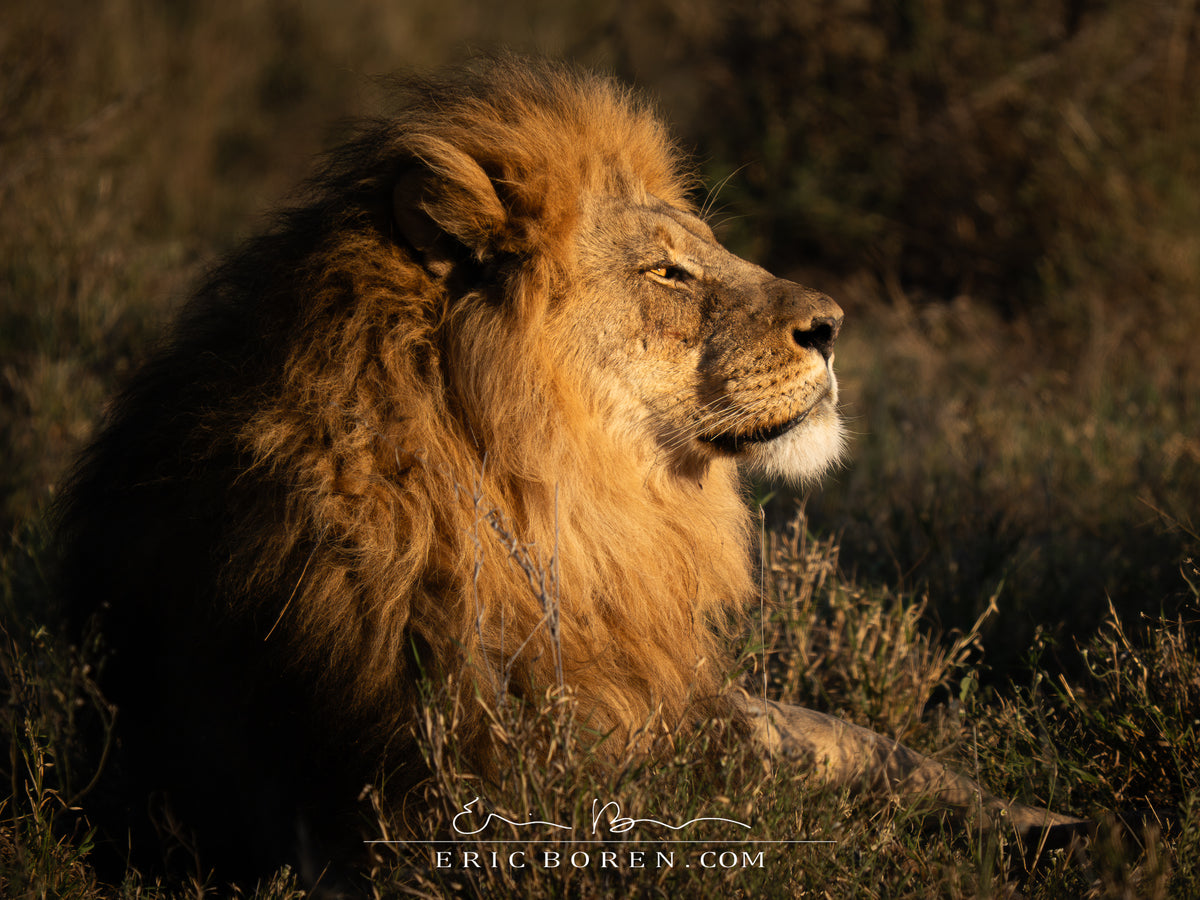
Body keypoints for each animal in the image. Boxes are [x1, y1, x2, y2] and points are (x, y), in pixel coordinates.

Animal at [56, 57, 1082, 883]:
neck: (577, 513)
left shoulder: (687, 705)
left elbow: (857, 754)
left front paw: (1044, 825)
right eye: (669, 273)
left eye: (707, 249)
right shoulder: (482, 792)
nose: (833, 326)